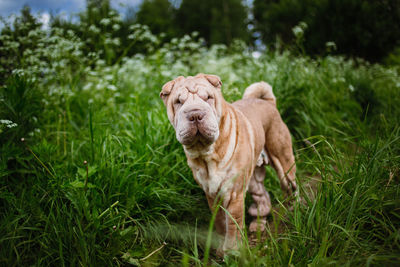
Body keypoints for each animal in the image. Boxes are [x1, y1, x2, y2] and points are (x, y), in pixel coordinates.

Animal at [159, 74, 296, 255]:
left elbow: (233, 223)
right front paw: (219, 248)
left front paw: (232, 251)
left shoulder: (234, 192)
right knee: (262, 195)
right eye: (178, 102)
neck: (206, 154)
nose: (195, 114)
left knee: (290, 188)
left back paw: (293, 214)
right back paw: (258, 223)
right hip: (253, 178)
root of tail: (268, 102)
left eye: (208, 98)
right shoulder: (211, 193)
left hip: (283, 162)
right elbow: (219, 221)